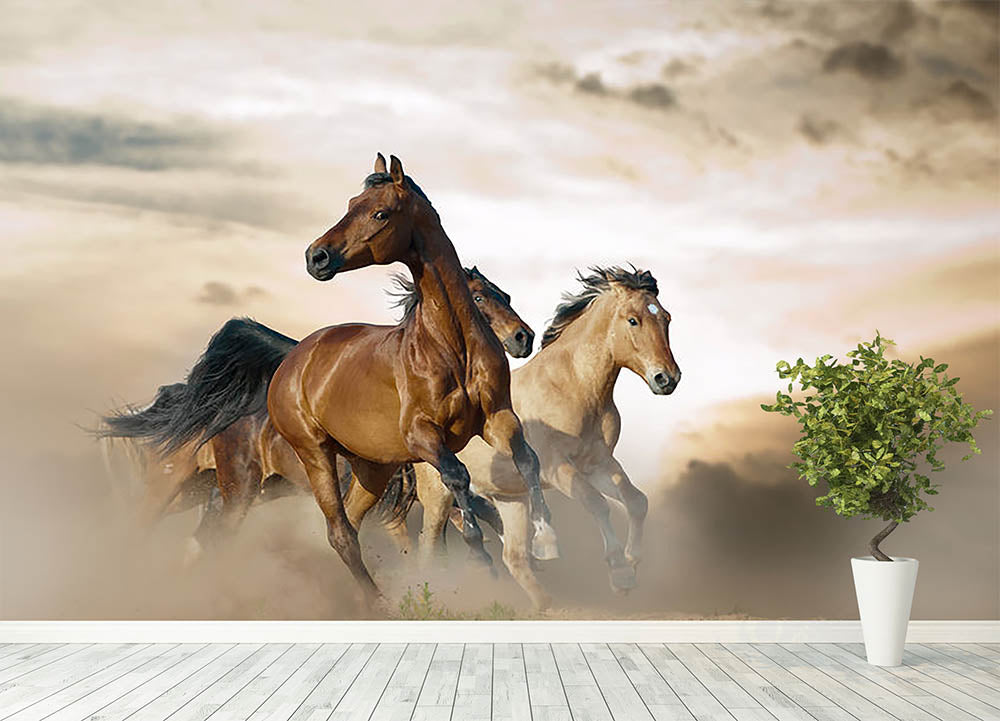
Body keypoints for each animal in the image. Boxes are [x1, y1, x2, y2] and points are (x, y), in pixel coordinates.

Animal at [376, 266, 680, 608]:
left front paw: (631, 563)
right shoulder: (557, 468)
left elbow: (637, 501)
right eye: (633, 320)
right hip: (439, 498)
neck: (575, 386)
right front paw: (620, 572)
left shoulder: (598, 463)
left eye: (666, 318)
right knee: (430, 545)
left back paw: (544, 603)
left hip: (512, 499)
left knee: (514, 556)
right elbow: (596, 503)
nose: (667, 378)